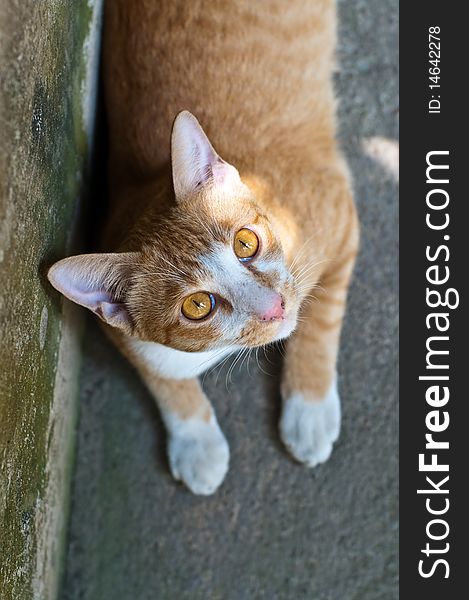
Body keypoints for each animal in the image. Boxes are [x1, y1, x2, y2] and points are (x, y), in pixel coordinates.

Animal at [47, 0, 358, 494]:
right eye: (198, 306)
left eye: (246, 243)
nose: (275, 307)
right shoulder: (123, 334)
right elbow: (159, 375)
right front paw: (195, 441)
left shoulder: (339, 218)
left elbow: (321, 316)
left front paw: (308, 408)